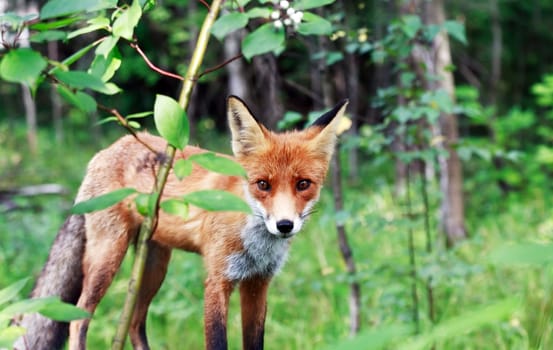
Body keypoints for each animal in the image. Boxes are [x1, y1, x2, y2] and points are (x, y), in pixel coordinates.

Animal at [15, 95, 348, 350]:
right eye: (262, 185)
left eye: (303, 184)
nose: (284, 225)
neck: (255, 241)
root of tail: (106, 150)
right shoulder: (217, 281)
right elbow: (217, 342)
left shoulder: (258, 283)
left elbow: (255, 342)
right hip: (108, 255)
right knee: (80, 318)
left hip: (153, 266)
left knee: (135, 323)